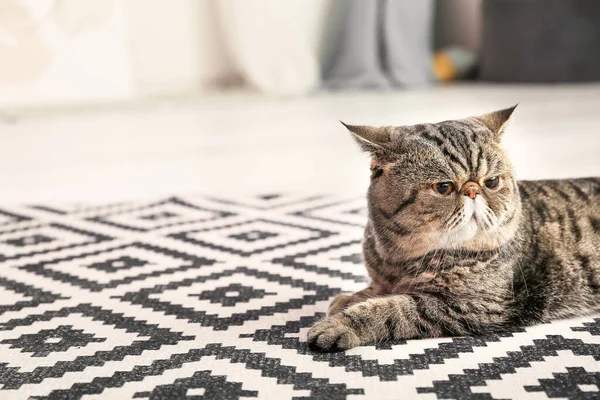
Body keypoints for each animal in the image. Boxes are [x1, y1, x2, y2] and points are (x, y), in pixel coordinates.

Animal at [308, 105, 600, 350]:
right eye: (444, 187)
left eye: (491, 182)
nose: (472, 190)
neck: (399, 260)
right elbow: (376, 289)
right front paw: (351, 298)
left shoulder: (474, 304)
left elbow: (396, 308)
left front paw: (342, 323)